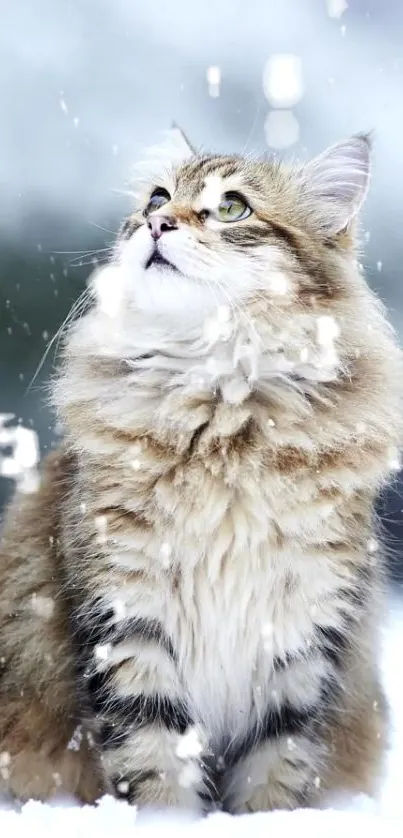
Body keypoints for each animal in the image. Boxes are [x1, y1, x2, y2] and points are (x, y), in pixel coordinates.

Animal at [0, 131, 403, 812]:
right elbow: (154, 763)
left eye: (233, 207)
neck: (222, 422)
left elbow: (276, 770)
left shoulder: (304, 630)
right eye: (158, 198)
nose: (158, 223)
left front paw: (266, 822)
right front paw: (168, 823)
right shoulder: (126, 617)